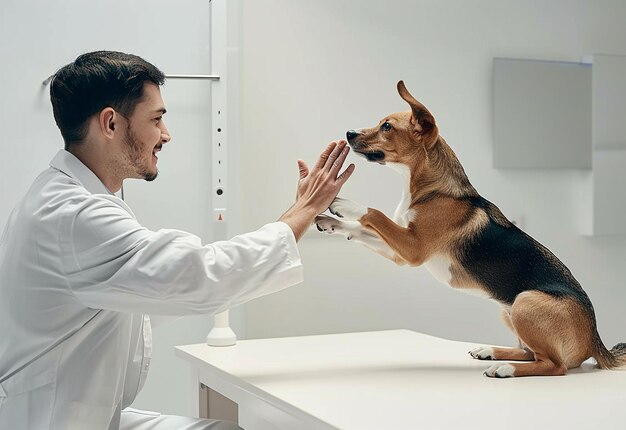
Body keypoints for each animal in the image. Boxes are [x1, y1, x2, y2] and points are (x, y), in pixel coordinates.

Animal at [314, 80, 624, 376]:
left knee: (553, 365)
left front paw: (343, 202)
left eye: (387, 126)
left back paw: (505, 368)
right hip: (508, 309)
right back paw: (491, 352)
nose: (348, 133)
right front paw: (331, 220)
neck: (432, 190)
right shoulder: (399, 253)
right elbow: (359, 229)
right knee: (529, 353)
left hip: (525, 301)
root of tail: (595, 341)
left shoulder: (413, 249)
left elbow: (373, 213)